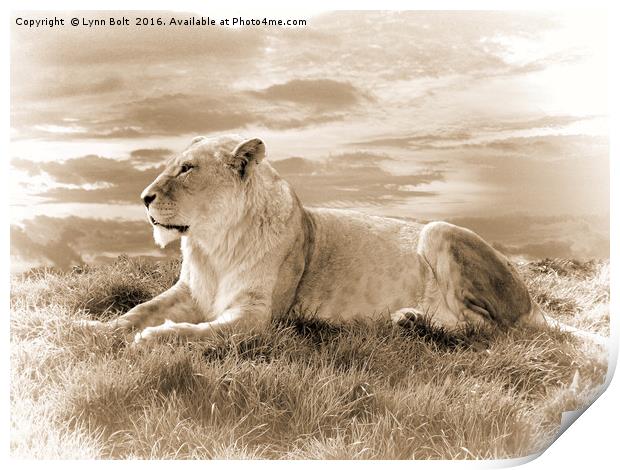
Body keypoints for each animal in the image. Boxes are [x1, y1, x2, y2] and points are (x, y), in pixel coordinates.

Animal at [92, 133, 604, 346]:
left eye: (187, 168)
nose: (143, 197)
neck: (214, 245)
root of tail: (532, 301)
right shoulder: (187, 292)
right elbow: (139, 309)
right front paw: (92, 330)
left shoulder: (258, 316)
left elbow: (199, 332)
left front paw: (153, 339)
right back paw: (410, 320)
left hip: (438, 230)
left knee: (490, 330)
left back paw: (416, 323)